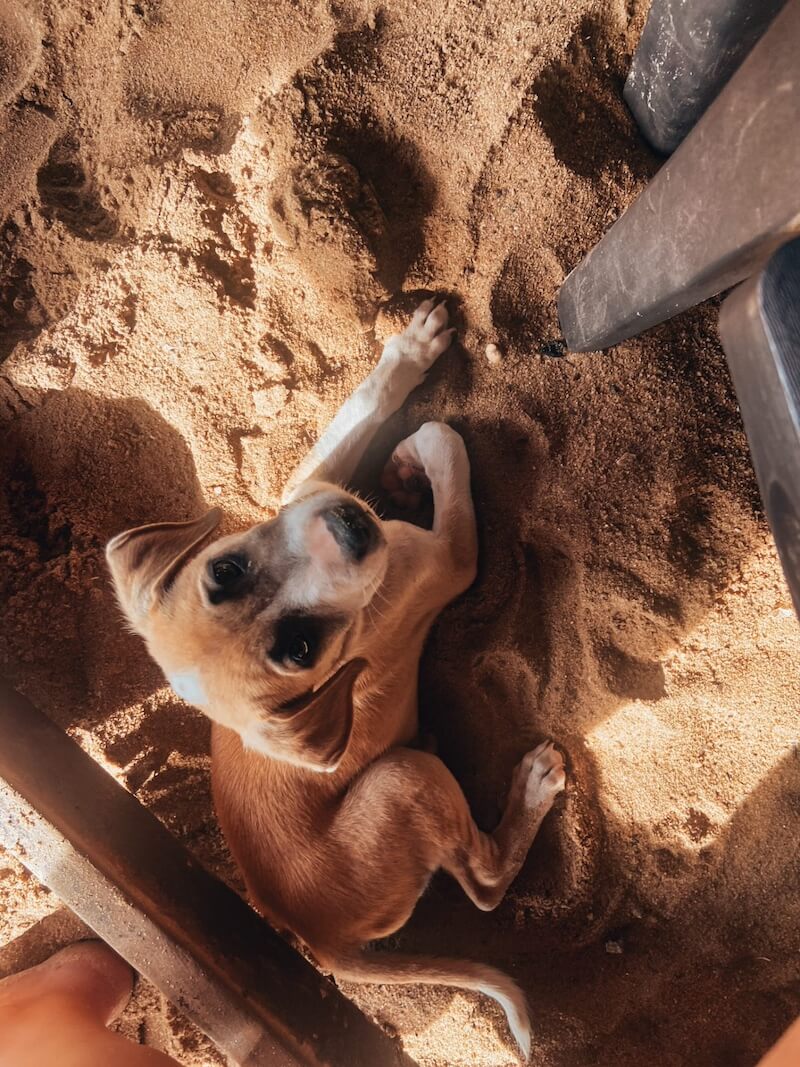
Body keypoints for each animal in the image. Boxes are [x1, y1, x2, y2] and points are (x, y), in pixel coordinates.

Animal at [106, 300, 567, 1058]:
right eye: (299, 649)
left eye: (226, 569)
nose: (352, 524)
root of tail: (319, 944)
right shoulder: (453, 555)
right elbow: (445, 439)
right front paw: (420, 454)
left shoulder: (303, 487)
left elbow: (359, 415)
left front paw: (410, 356)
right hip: (403, 780)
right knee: (486, 884)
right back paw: (533, 789)